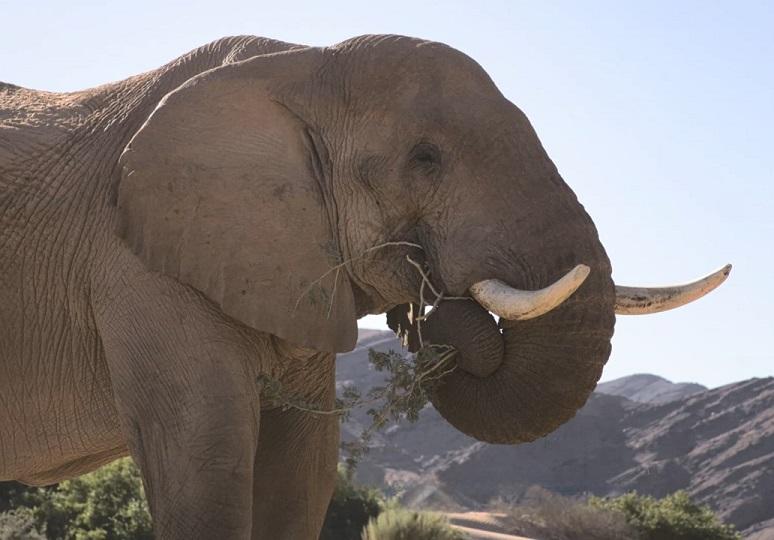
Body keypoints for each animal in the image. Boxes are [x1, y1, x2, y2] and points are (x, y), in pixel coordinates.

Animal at [0, 35, 730, 538]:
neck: (299, 67)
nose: (433, 309)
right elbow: (205, 464)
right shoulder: (139, 270)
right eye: (426, 159)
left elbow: (303, 470)